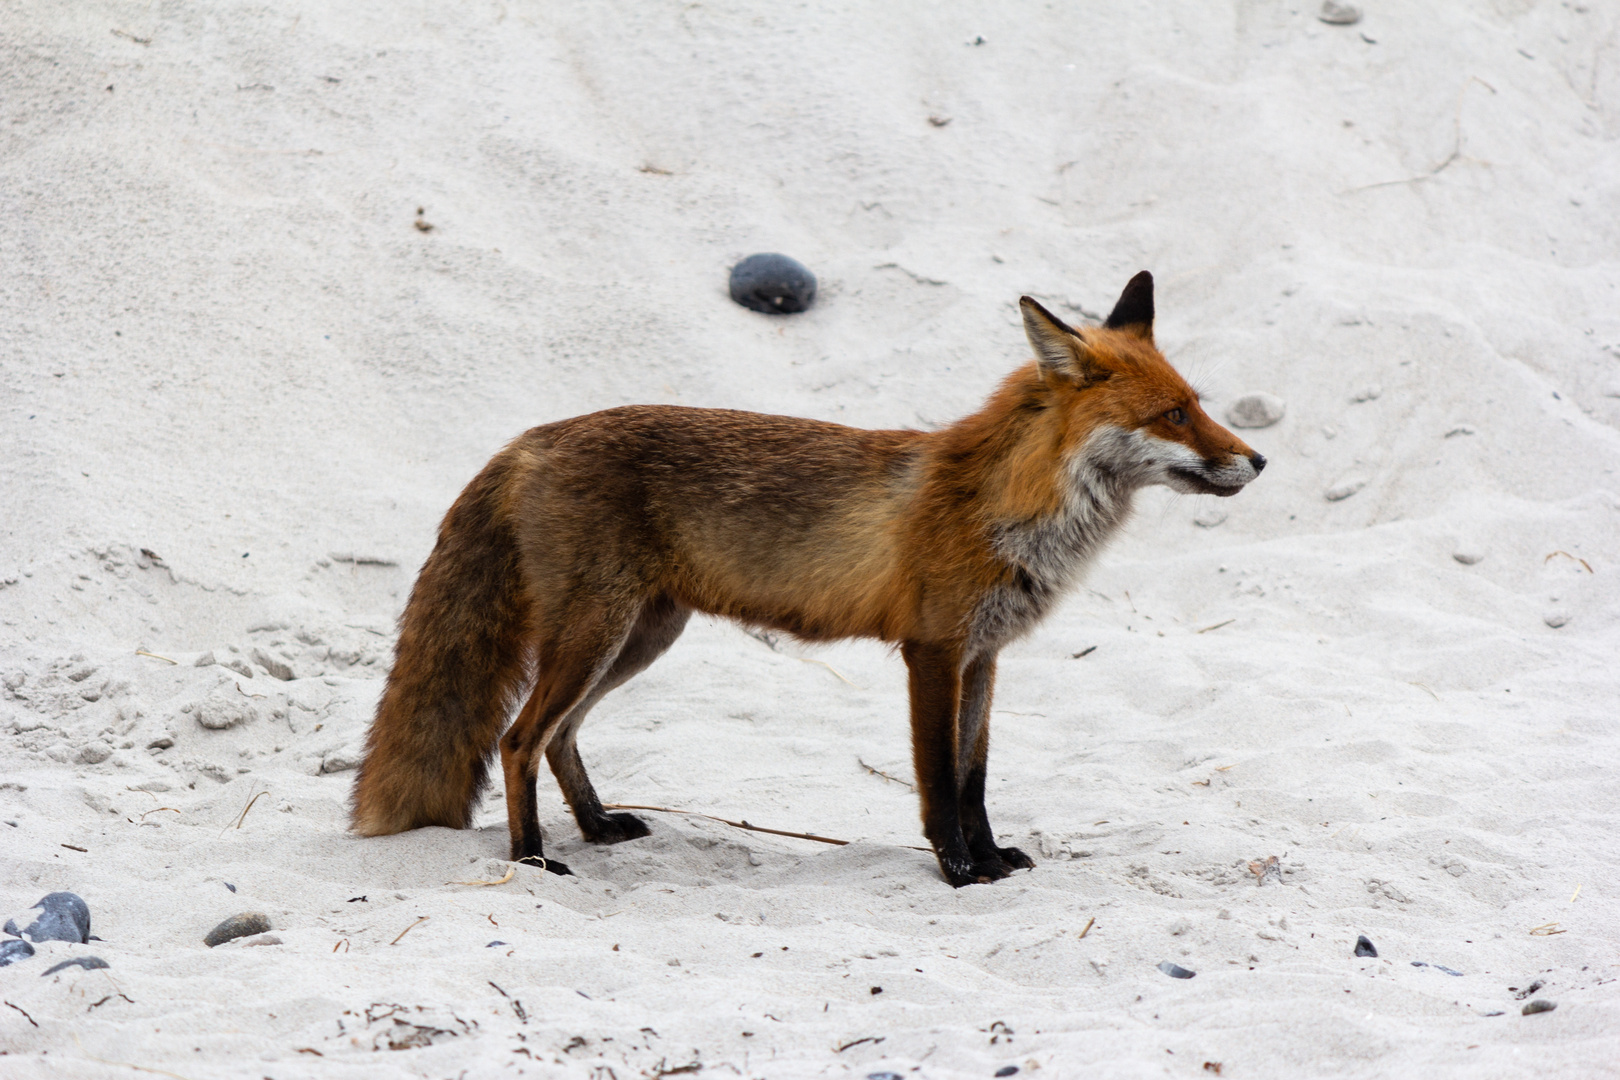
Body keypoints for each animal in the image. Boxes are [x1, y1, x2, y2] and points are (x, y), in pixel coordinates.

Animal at [354, 272, 1263, 887]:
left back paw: (597, 827)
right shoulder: (933, 652)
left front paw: (992, 856)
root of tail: (530, 437)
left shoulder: (986, 655)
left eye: (1198, 402)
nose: (1257, 461)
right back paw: (533, 858)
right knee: (518, 739)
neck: (1008, 506)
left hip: (640, 636)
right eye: (1172, 415)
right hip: (596, 635)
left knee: (559, 736)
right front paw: (959, 872)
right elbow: (939, 782)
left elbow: (975, 777)